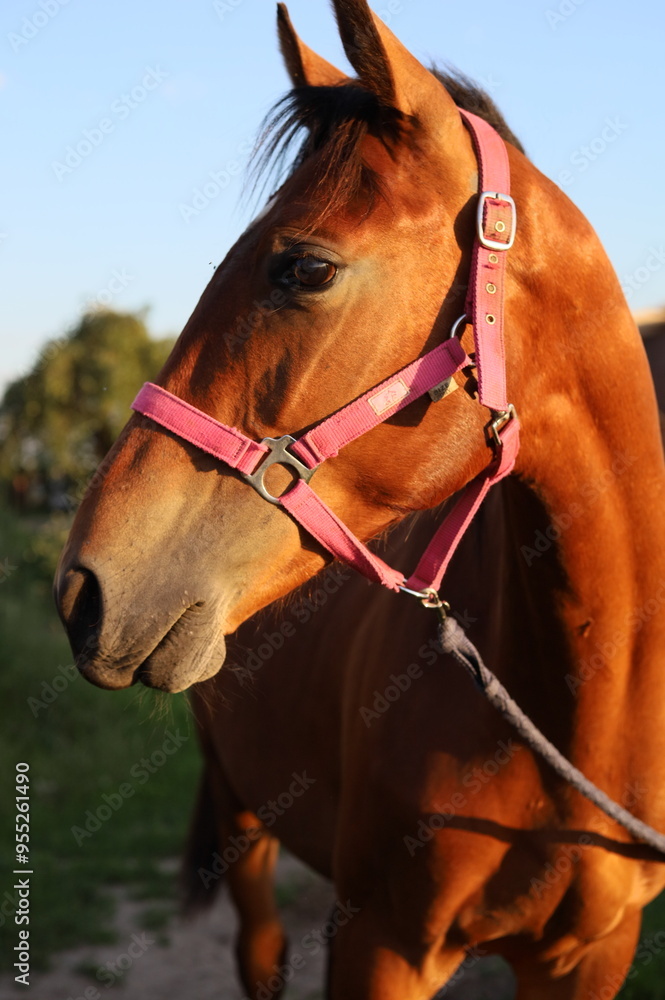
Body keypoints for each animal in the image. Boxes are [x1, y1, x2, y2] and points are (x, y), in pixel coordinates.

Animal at [55, 2, 665, 997]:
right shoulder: (377, 944)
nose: (84, 590)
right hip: (243, 815)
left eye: (304, 269)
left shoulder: (590, 957)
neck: (576, 719)